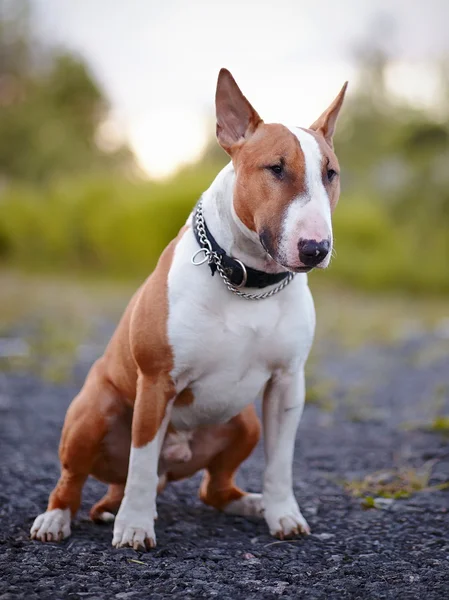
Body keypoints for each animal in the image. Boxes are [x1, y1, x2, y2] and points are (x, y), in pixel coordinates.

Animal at [30, 69, 346, 548]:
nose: (316, 249)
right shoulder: (157, 381)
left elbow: (280, 462)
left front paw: (283, 514)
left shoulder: (287, 383)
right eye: (276, 168)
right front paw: (135, 525)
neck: (247, 279)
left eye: (331, 174)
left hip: (246, 422)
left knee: (212, 488)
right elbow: (141, 462)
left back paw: (249, 503)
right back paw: (58, 518)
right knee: (79, 477)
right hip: (92, 410)